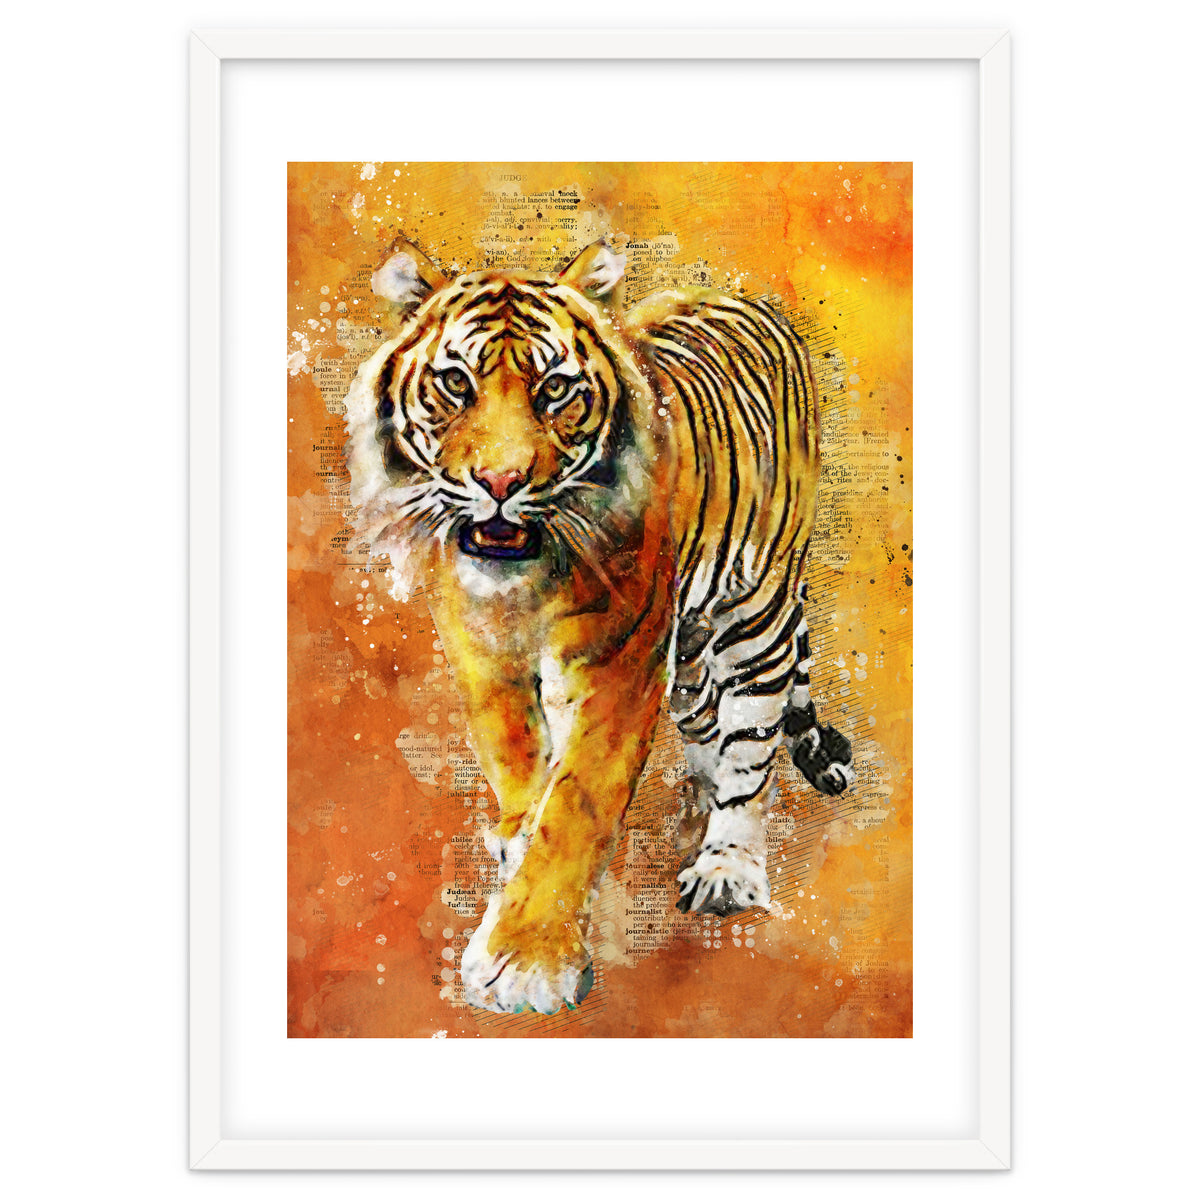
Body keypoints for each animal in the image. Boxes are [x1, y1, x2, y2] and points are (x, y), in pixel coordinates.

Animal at [342, 234, 854, 1015]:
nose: (500, 483)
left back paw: (727, 864)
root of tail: (743, 297)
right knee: (706, 722)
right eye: (455, 383)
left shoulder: (618, 663)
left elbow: (577, 803)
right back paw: (696, 801)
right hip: (693, 646)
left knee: (752, 742)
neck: (523, 585)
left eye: (555, 389)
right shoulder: (481, 649)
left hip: (755, 608)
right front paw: (516, 841)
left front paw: (526, 960)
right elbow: (517, 760)